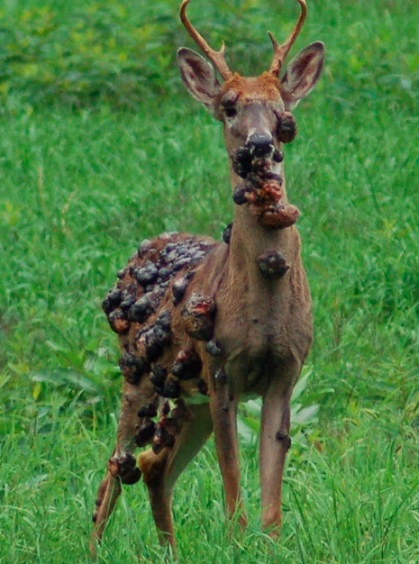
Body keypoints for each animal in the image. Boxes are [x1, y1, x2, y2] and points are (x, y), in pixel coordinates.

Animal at [92, 0, 324, 552]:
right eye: (229, 106)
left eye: (283, 110)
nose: (261, 144)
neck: (265, 304)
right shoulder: (222, 373)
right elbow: (233, 489)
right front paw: (238, 545)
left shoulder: (286, 373)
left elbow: (270, 501)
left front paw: (270, 546)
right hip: (139, 376)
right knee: (113, 471)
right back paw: (93, 550)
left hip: (182, 392)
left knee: (153, 465)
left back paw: (169, 551)